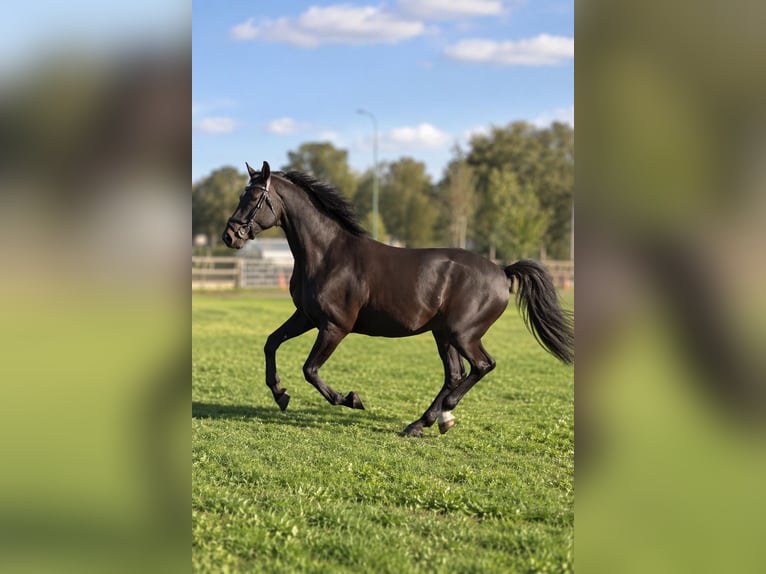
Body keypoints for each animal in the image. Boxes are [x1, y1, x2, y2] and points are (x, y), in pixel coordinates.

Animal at [222, 161, 574, 436]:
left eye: (256, 198)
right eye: (241, 195)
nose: (230, 235)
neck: (327, 255)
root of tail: (502, 271)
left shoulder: (334, 326)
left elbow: (310, 369)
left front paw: (351, 399)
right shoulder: (306, 317)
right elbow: (271, 343)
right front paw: (280, 394)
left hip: (463, 334)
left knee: (482, 366)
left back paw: (438, 415)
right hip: (443, 334)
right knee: (455, 374)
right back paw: (428, 421)